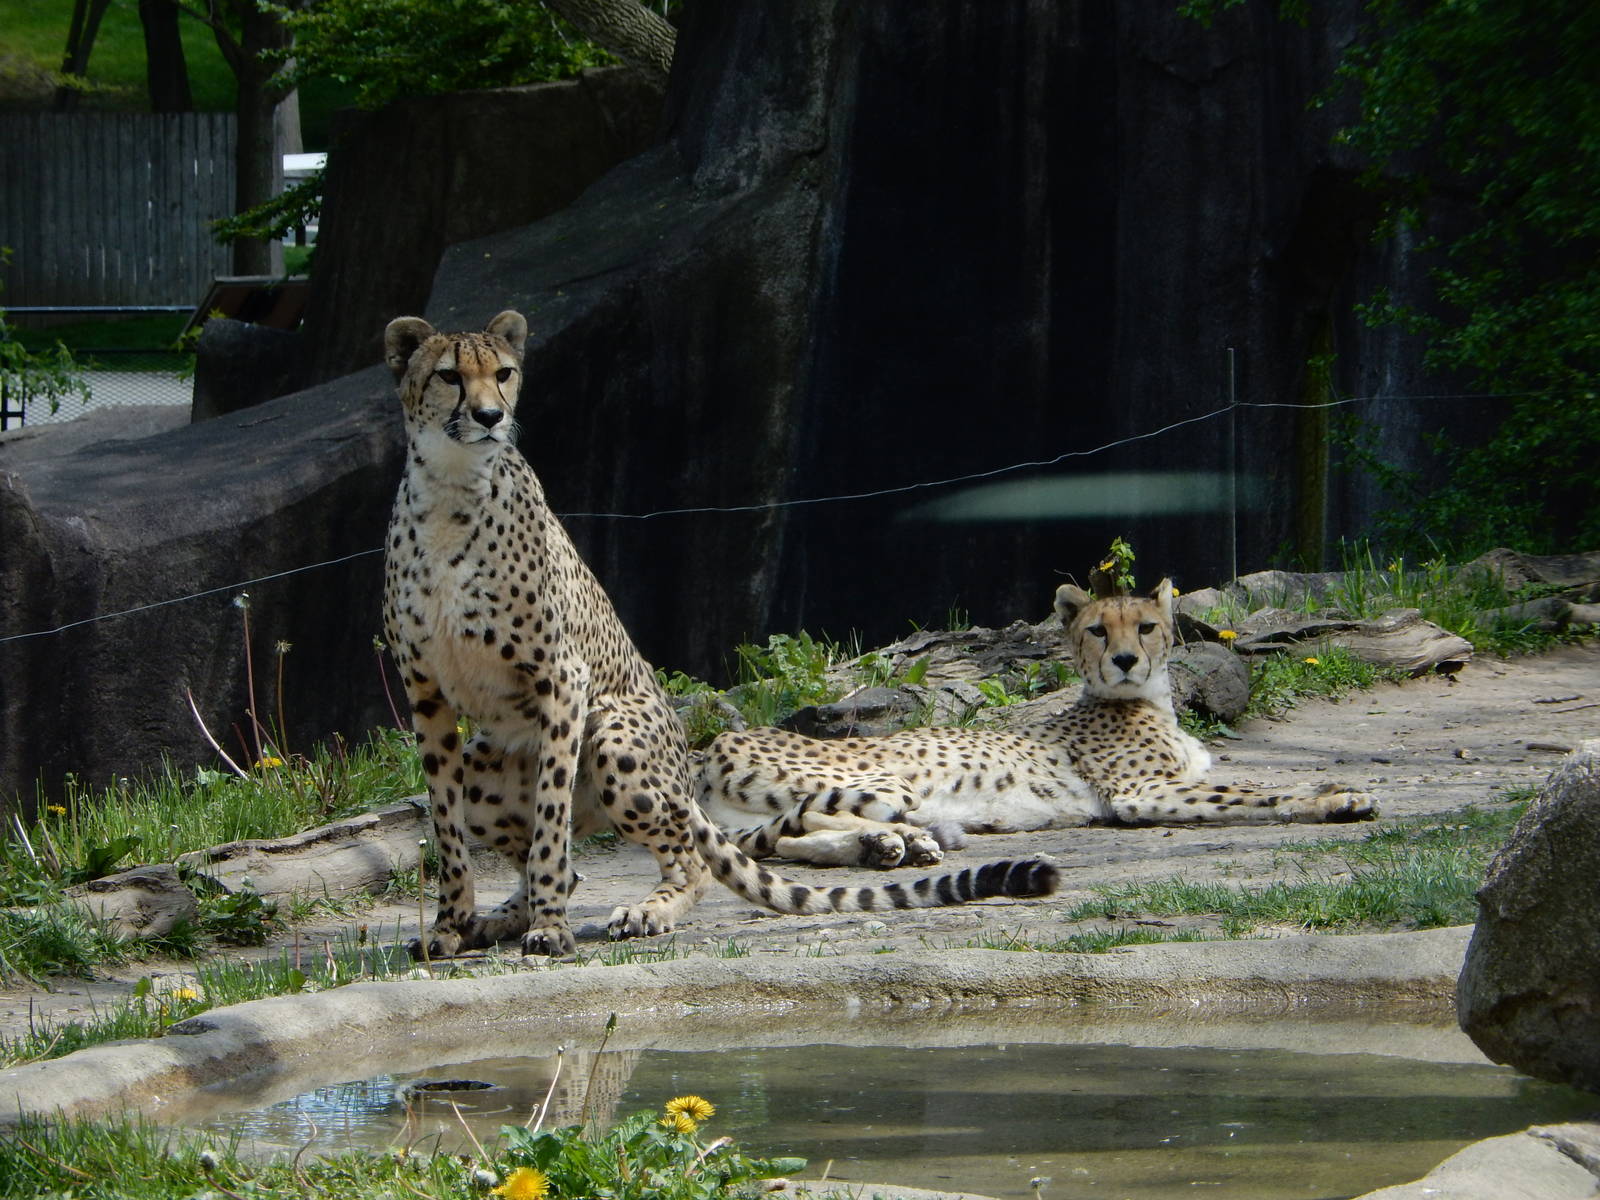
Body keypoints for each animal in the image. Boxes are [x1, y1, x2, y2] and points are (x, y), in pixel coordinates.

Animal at [379, 310, 1059, 958]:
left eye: (504, 373)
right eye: (449, 376)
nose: (491, 416)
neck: (451, 489)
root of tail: (688, 775)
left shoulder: (562, 680)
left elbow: (551, 824)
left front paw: (549, 930)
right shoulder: (426, 692)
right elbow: (447, 827)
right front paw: (451, 926)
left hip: (614, 733)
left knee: (683, 861)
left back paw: (646, 910)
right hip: (485, 761)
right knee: (574, 859)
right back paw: (496, 920)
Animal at [695, 577, 1379, 869]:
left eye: (1146, 627)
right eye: (1098, 630)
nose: (1124, 659)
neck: (1150, 699)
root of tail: (714, 748)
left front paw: (1335, 789)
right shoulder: (1142, 792)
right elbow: (1255, 793)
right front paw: (1336, 798)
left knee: (783, 838)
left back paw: (887, 846)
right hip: (890, 782)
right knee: (816, 817)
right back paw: (901, 840)